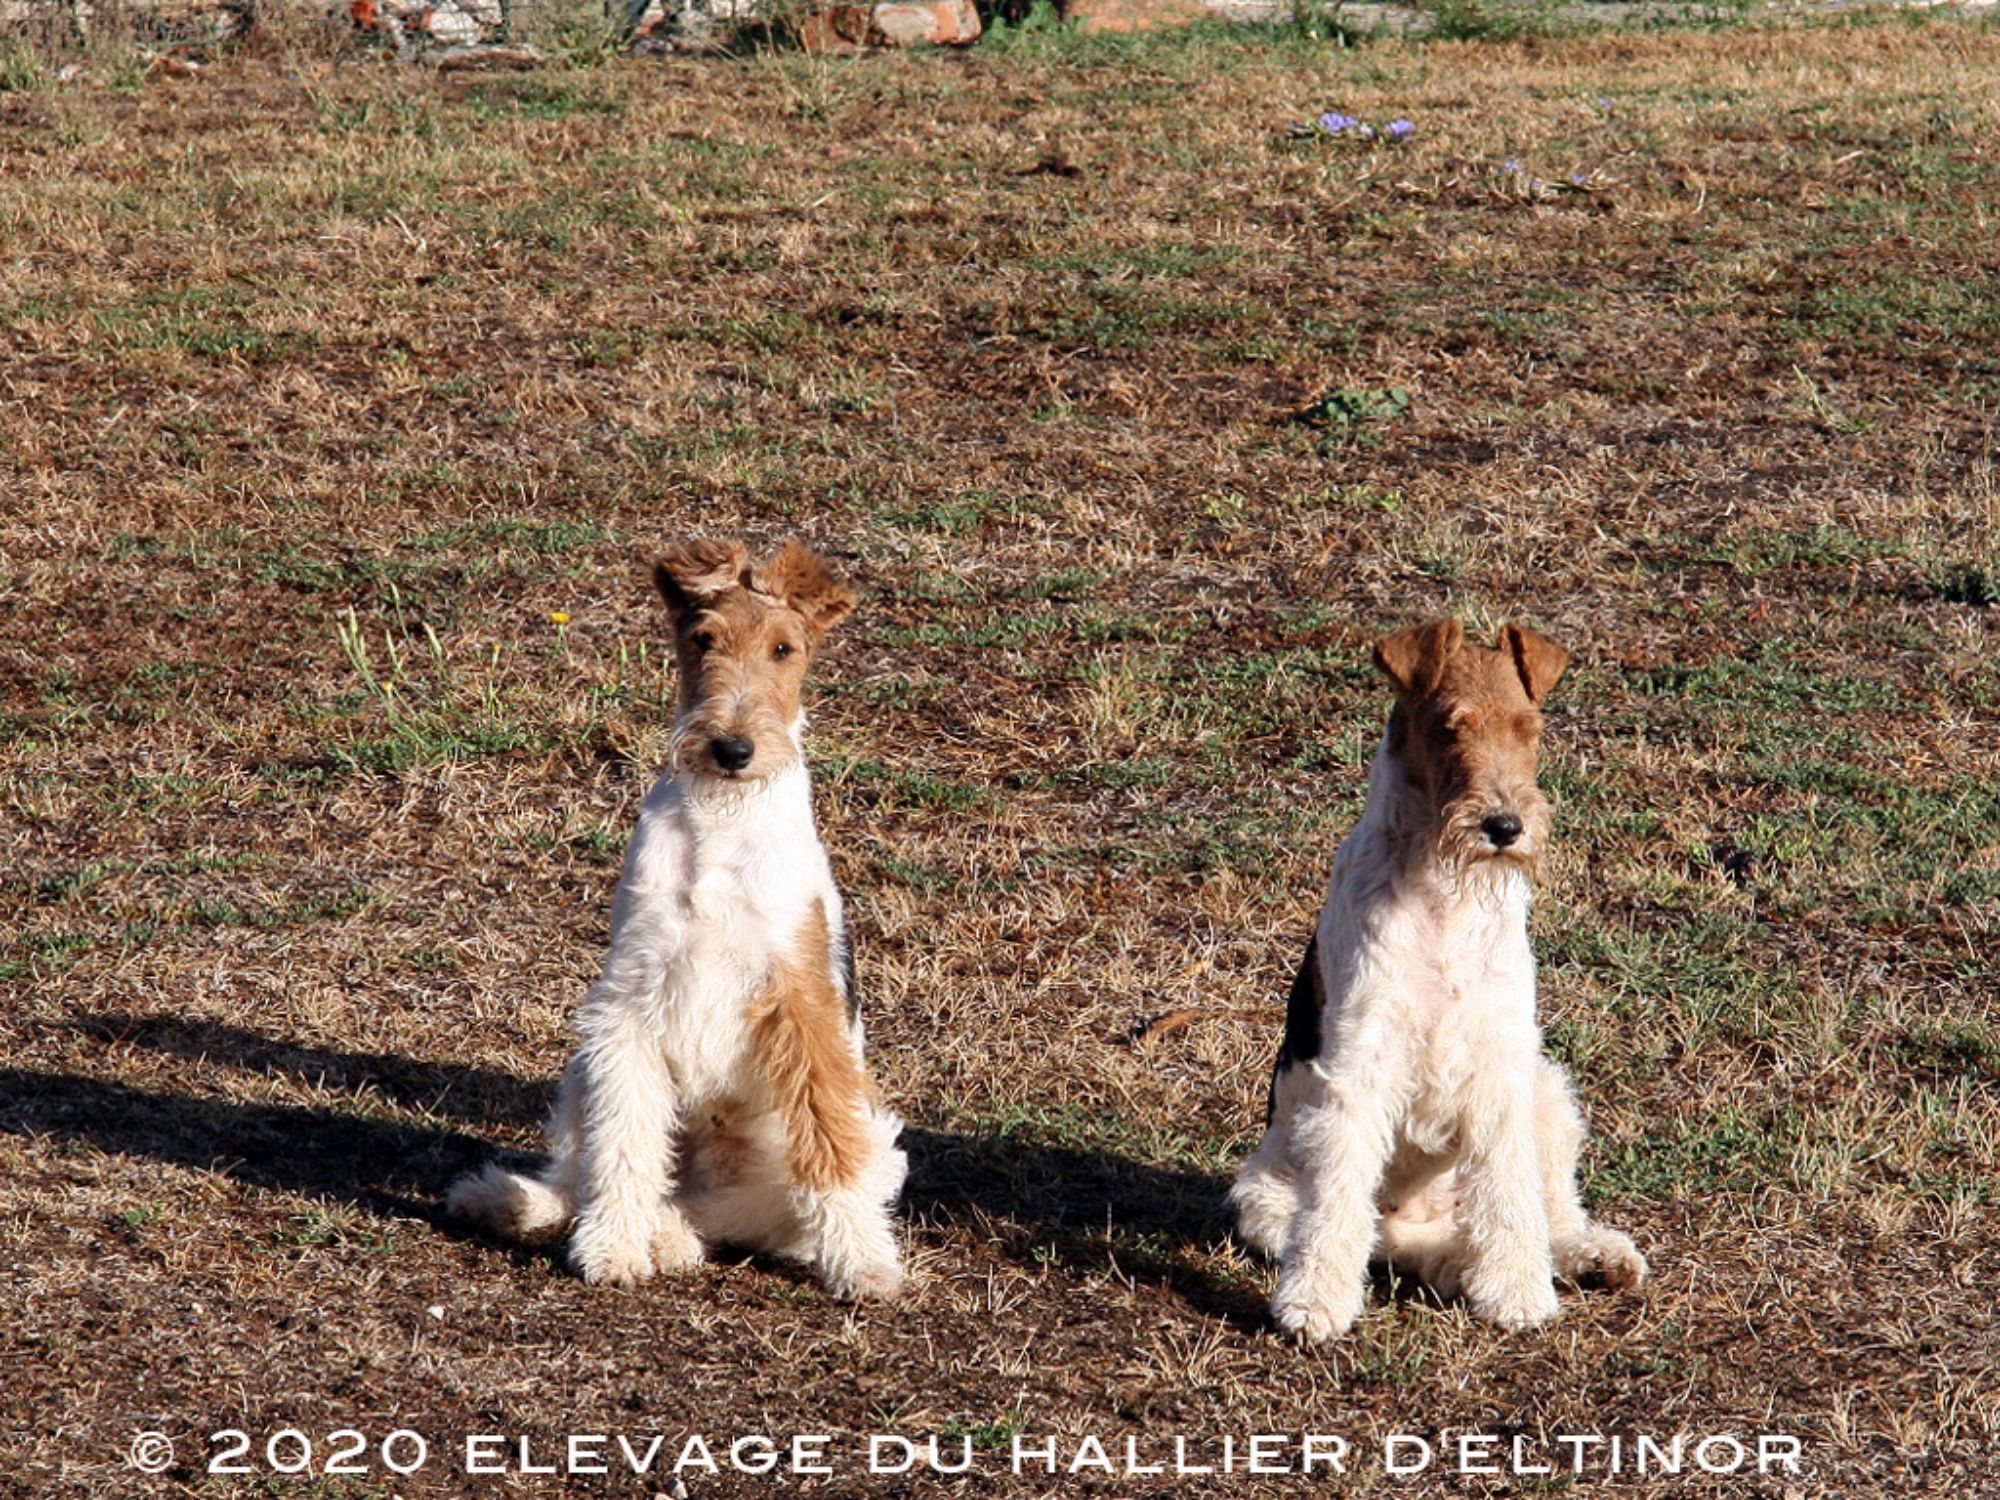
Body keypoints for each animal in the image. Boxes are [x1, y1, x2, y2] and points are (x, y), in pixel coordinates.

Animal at [448, 539, 906, 1300]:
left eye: (785, 648)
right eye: (703, 640)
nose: (732, 749)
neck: (721, 819)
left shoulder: (803, 1004)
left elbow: (830, 1152)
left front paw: (868, 1266)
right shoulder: (630, 1002)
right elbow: (622, 1148)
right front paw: (611, 1250)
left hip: (867, 1142)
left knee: (739, 1211)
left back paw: (669, 1234)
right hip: (582, 1073)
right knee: (588, 1175)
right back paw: (510, 1201)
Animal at [1230, 618, 1645, 1341]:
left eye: (1529, 728)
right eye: (1450, 726)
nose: (1504, 826)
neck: (1445, 888)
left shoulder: (1501, 1057)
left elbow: (1511, 1195)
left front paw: (1518, 1295)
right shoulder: (1361, 1064)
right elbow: (1337, 1199)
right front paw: (1312, 1307)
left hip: (1546, 1089)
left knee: (1546, 1210)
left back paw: (1590, 1255)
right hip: (1265, 1196)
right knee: (1386, 1239)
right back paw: (1457, 1269)